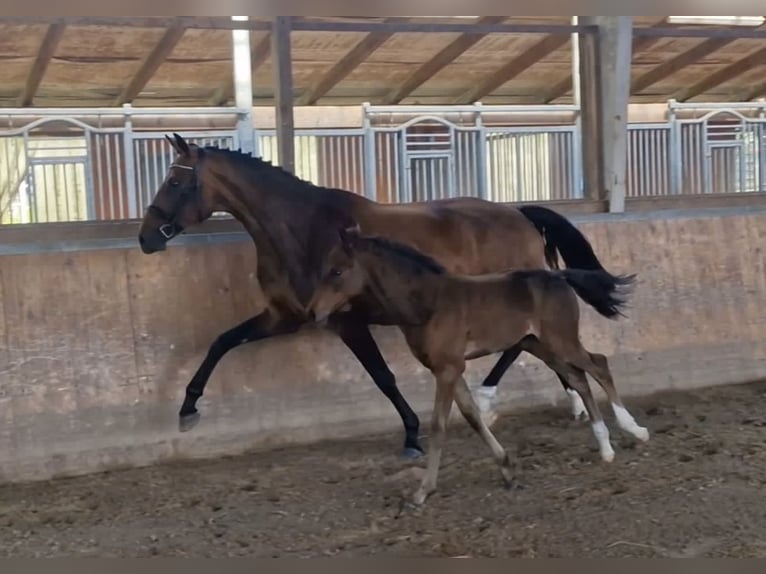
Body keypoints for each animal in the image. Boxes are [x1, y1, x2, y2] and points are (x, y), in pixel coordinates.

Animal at [308, 230, 652, 508]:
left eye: (337, 270)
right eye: (324, 269)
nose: (313, 312)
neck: (429, 303)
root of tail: (558, 277)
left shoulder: (447, 369)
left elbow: (439, 426)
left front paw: (421, 493)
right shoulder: (449, 369)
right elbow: (472, 416)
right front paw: (508, 470)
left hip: (561, 341)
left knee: (598, 364)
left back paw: (634, 430)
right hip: (540, 345)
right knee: (579, 378)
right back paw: (605, 447)